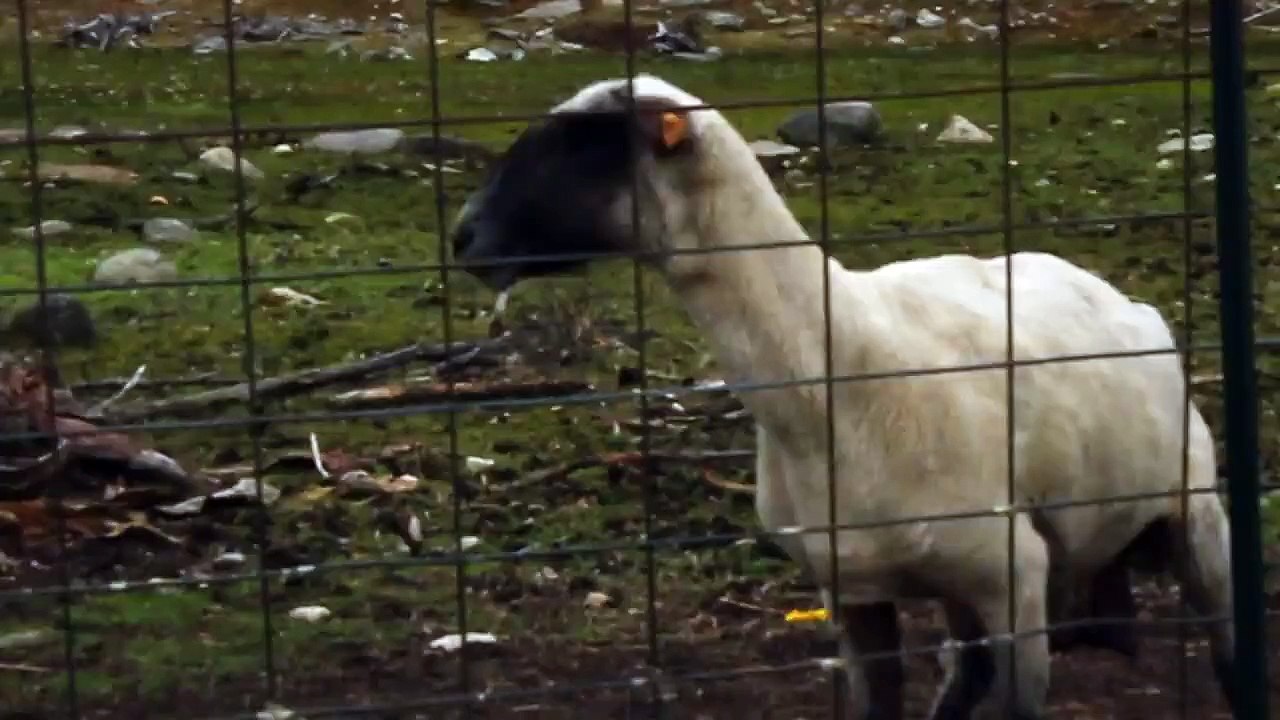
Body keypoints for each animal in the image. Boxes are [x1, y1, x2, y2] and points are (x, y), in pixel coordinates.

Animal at [448, 74, 1238, 719]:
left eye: (586, 144)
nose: (462, 236)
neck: (835, 381)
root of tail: (1121, 297)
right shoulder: (853, 589)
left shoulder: (1015, 576)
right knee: (967, 676)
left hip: (1195, 509)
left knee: (1226, 642)